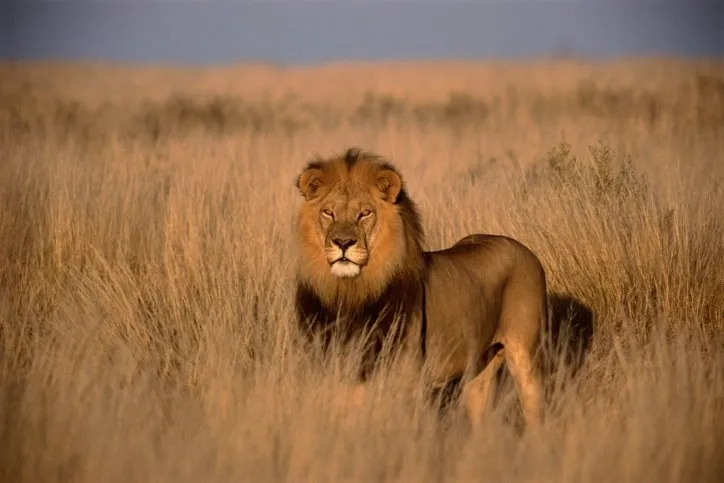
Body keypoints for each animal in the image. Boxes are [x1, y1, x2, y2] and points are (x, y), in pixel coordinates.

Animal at [294, 148, 548, 429]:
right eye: (328, 213)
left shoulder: (404, 379)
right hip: (480, 368)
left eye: (365, 213)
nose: (343, 242)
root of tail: (523, 248)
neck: (351, 294)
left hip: (526, 355)